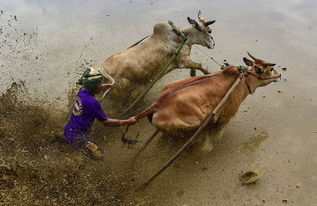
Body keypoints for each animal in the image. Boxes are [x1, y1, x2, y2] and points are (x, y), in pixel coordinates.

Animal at [135, 52, 278, 151]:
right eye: (271, 69)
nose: (279, 74)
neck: (242, 81)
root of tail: (156, 105)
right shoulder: (224, 118)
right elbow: (217, 135)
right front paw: (208, 147)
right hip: (182, 130)